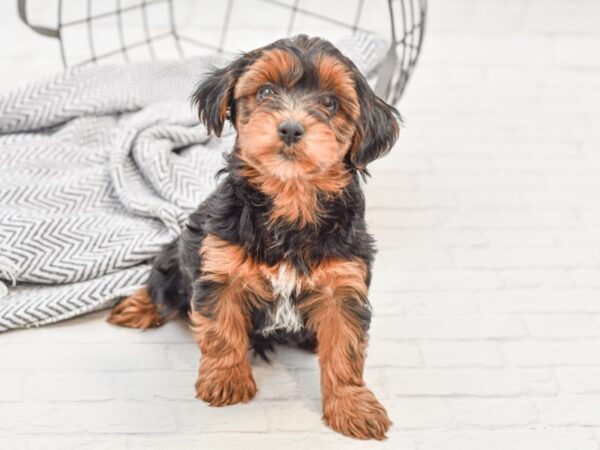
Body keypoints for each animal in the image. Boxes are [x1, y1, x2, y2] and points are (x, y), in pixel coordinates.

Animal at [110, 34, 400, 440]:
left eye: (330, 103)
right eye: (265, 91)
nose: (291, 128)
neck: (290, 198)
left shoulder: (343, 285)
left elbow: (345, 350)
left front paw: (353, 407)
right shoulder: (219, 268)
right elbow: (222, 329)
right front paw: (226, 380)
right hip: (187, 244)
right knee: (165, 278)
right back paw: (138, 306)